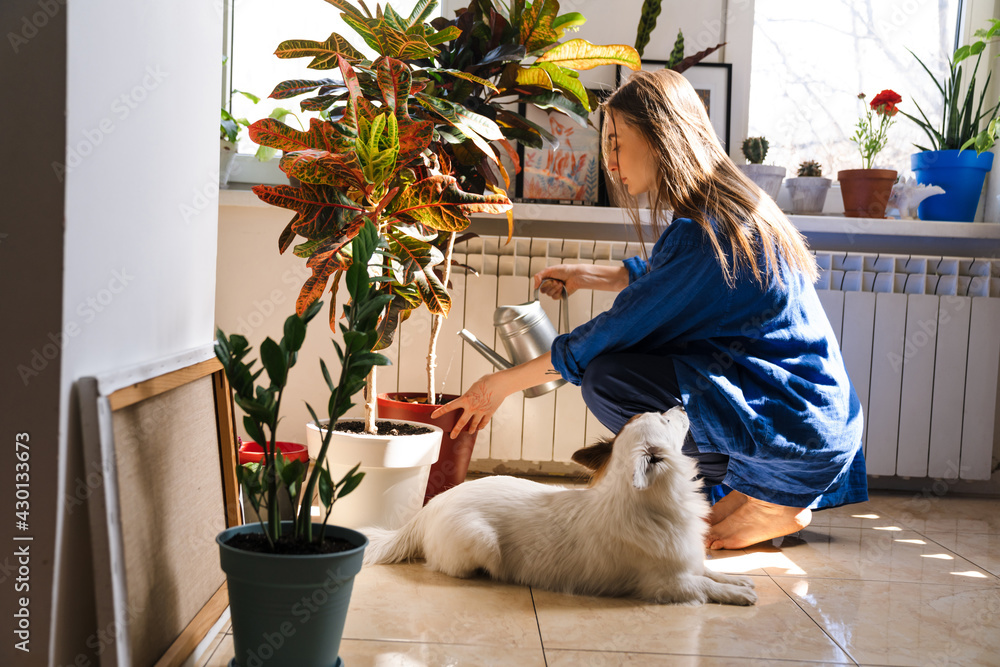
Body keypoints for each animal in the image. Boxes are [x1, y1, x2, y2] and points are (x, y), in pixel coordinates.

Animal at [364, 408, 752, 604]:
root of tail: (427, 511)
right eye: (666, 421)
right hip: (480, 542)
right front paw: (736, 594)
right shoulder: (665, 584)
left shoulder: (687, 563)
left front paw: (739, 579)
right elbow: (703, 587)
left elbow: (709, 572)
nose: (682, 404)